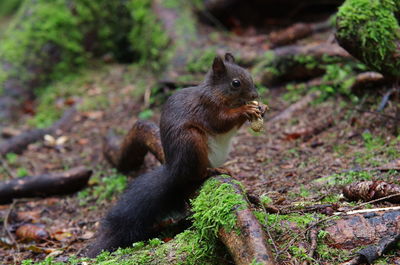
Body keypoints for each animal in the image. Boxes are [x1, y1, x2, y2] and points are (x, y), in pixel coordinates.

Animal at [87, 52, 260, 256]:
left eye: (249, 75)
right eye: (235, 83)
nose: (255, 95)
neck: (217, 93)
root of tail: (175, 169)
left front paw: (260, 108)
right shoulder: (207, 108)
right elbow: (221, 122)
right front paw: (245, 109)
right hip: (191, 142)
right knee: (195, 174)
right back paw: (211, 171)